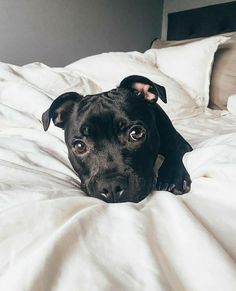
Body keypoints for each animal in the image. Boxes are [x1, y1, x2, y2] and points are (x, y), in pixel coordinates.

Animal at [42, 75, 192, 203]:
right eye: (79, 146)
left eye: (136, 133)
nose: (111, 187)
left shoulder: (180, 143)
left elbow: (176, 153)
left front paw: (171, 177)